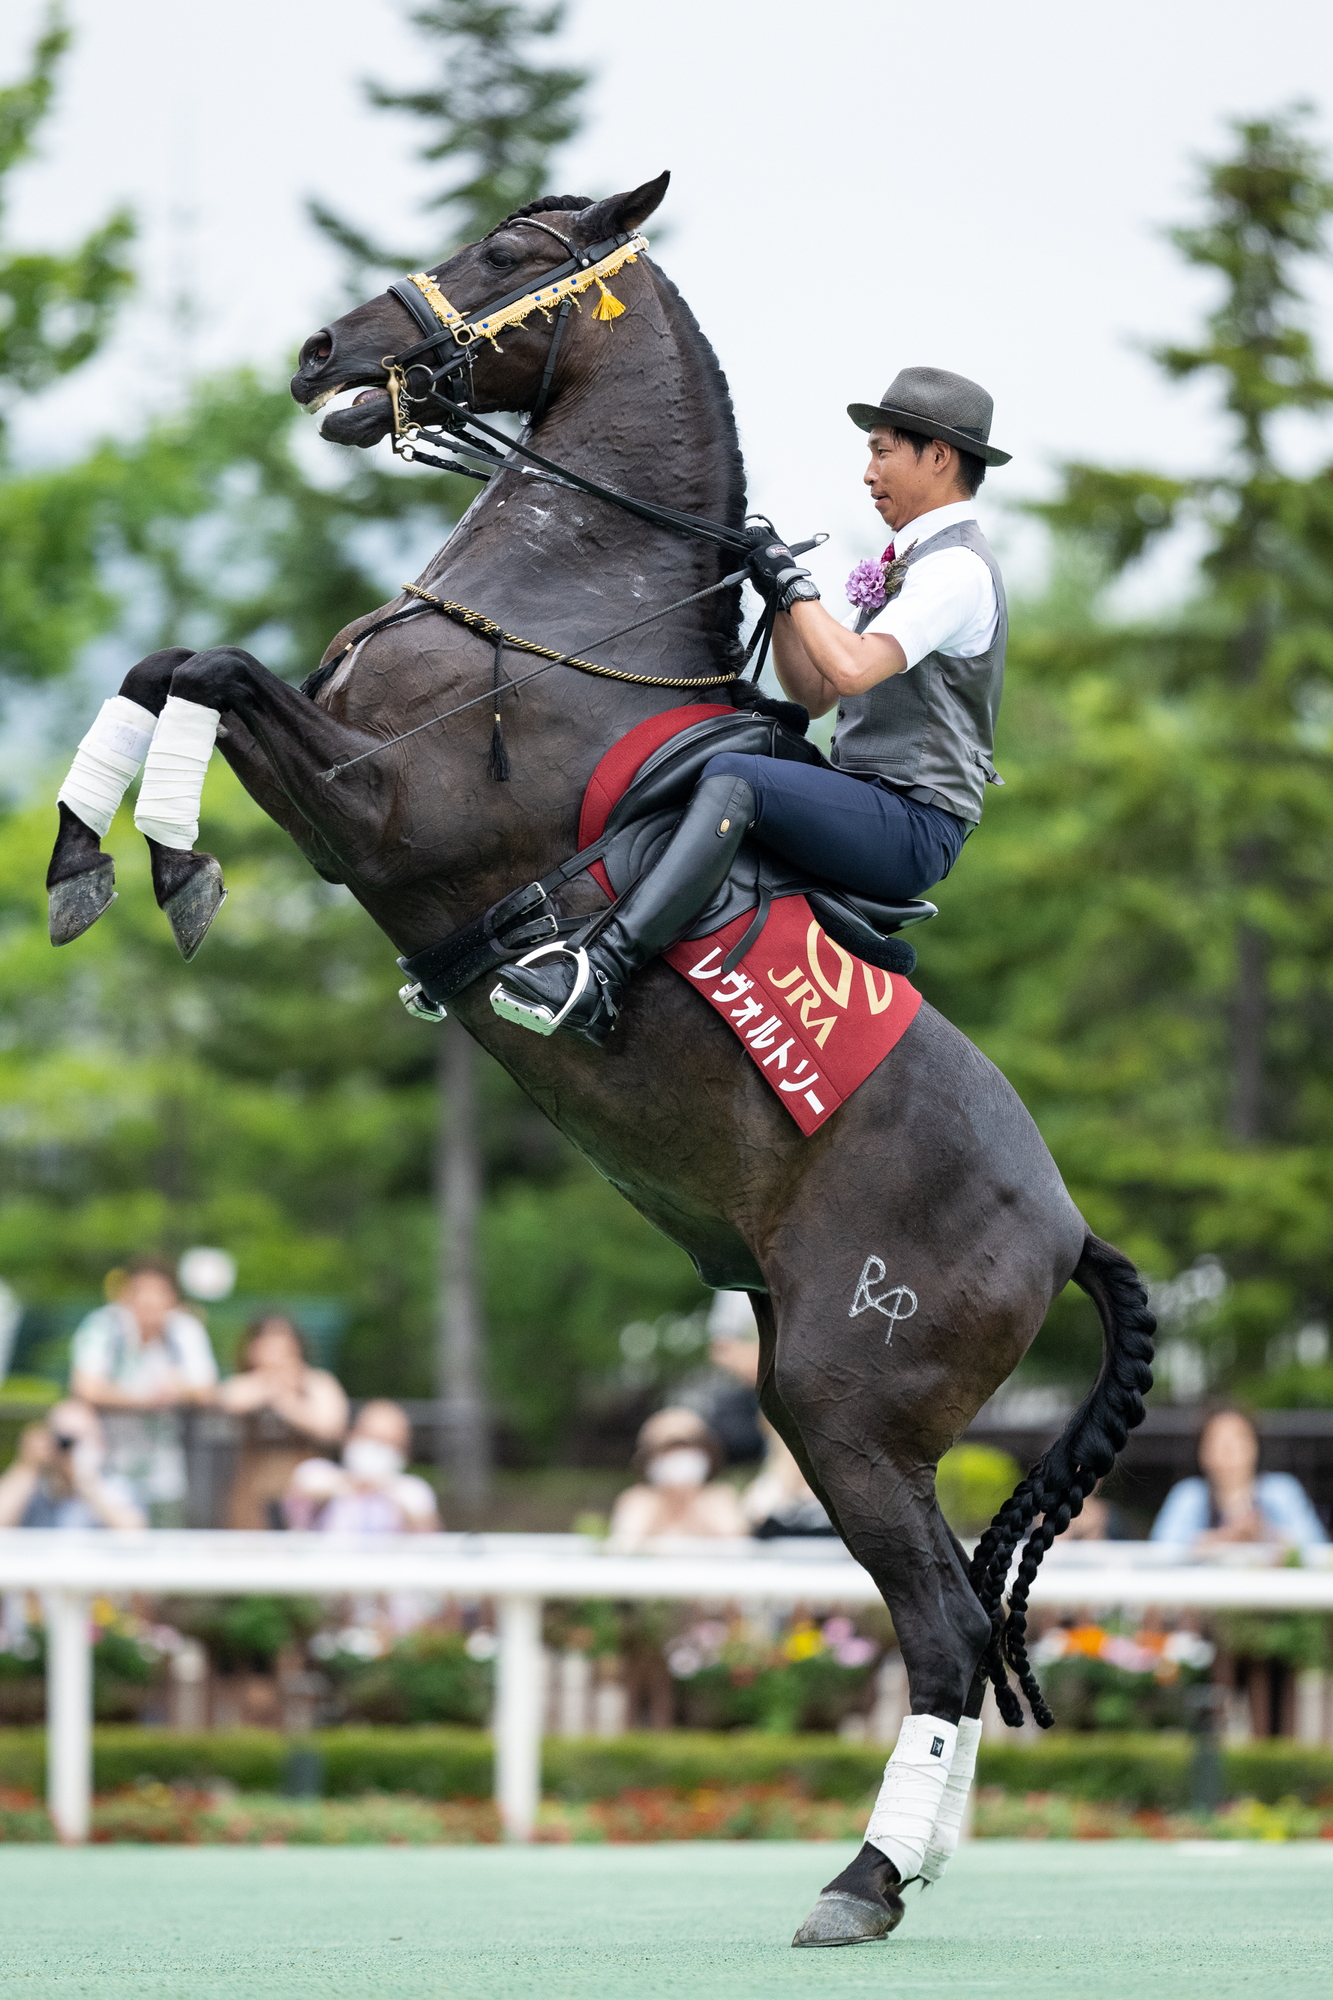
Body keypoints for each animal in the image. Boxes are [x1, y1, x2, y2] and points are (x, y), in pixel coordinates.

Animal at [45, 172, 1153, 1944]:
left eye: (511, 251)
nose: (322, 355)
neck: (567, 592)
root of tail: (1067, 1230)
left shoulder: (386, 815)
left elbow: (206, 672)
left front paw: (164, 862)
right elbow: (165, 664)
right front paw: (92, 854)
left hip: (841, 1403)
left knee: (939, 1632)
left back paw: (860, 1885)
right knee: (960, 1637)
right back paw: (899, 1873)